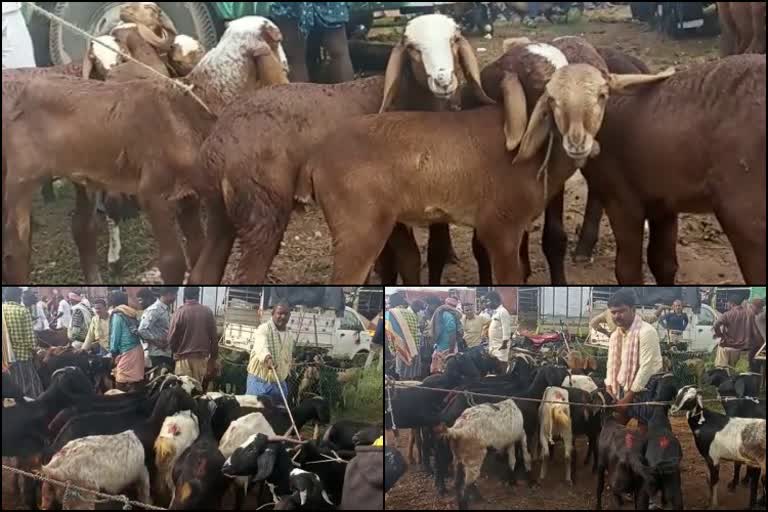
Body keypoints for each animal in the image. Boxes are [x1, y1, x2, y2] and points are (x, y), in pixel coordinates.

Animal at [2, 17, 292, 284]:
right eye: (277, 38)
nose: (287, 65)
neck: (190, 106)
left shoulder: (188, 195)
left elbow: (197, 250)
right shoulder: (153, 193)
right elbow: (172, 262)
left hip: (82, 176)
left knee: (82, 228)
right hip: (19, 180)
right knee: (16, 248)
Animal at [186, 13, 492, 284]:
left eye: (454, 40)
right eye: (413, 48)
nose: (443, 80)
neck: (403, 98)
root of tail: (218, 143)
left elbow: (402, 258)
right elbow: (406, 257)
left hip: (220, 213)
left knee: (204, 273)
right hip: (262, 207)